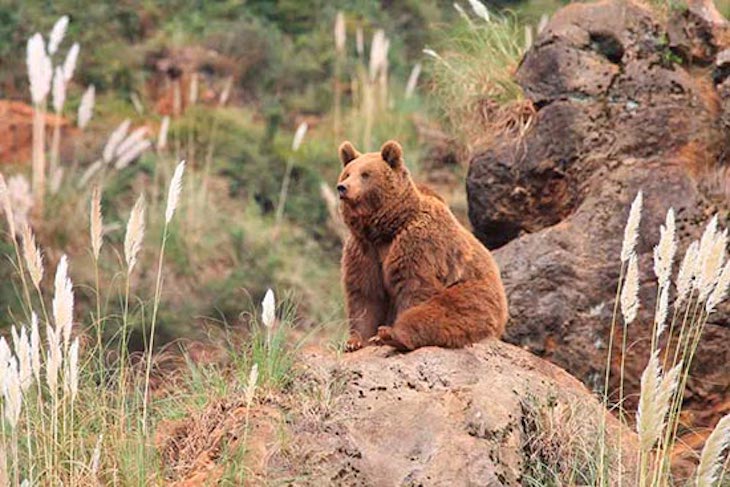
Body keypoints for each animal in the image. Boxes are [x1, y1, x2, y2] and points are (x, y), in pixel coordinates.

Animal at [336, 139, 509, 352]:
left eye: (365, 174)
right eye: (347, 173)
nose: (342, 187)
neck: (384, 228)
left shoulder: (418, 244)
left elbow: (414, 287)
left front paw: (380, 335)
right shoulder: (363, 249)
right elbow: (365, 294)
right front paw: (355, 341)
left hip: (476, 293)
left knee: (445, 311)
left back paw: (392, 334)